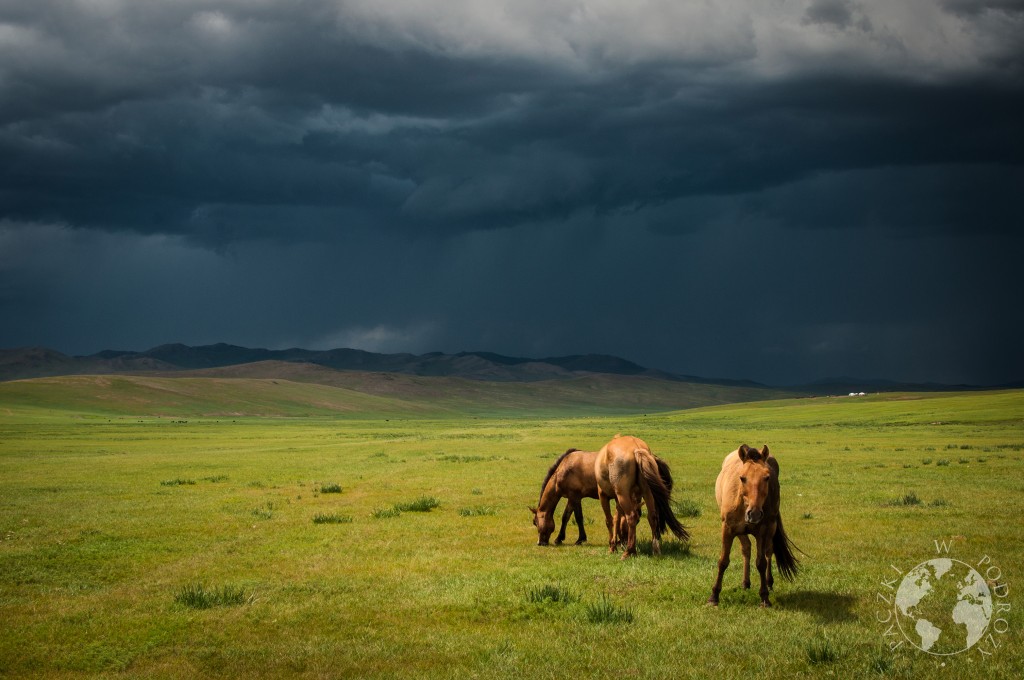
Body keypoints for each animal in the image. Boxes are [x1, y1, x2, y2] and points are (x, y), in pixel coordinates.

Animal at [712, 444, 798, 606]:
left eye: (767, 477)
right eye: (742, 477)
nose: (755, 514)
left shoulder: (763, 532)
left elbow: (761, 563)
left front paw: (764, 597)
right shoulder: (728, 529)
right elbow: (723, 561)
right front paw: (714, 596)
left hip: (771, 529)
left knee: (769, 551)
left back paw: (769, 582)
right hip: (741, 531)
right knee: (746, 548)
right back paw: (745, 582)